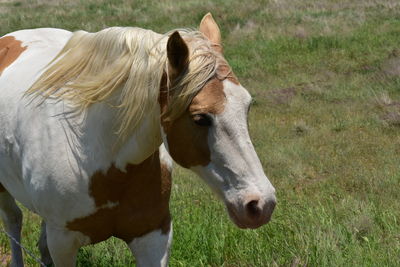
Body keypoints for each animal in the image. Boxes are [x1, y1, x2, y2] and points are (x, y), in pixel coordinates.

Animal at [0, 13, 276, 267]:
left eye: (247, 106)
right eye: (200, 118)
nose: (260, 204)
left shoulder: (153, 236)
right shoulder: (64, 243)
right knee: (14, 221)